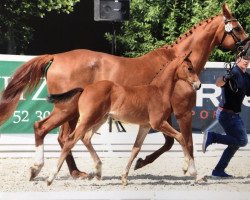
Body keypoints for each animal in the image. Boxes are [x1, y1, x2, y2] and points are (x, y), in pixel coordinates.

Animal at [46, 54, 200, 186]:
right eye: (189, 68)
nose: (198, 85)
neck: (159, 91)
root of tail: (85, 89)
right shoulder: (158, 123)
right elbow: (181, 137)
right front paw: (190, 170)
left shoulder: (145, 126)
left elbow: (135, 149)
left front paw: (124, 177)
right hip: (88, 120)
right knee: (71, 140)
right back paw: (50, 178)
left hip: (99, 120)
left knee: (86, 138)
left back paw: (98, 171)